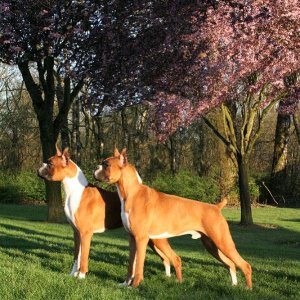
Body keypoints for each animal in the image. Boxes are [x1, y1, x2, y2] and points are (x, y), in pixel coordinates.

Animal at [38, 146, 182, 284]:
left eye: (50, 163)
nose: (39, 167)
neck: (75, 191)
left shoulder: (85, 234)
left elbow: (83, 257)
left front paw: (81, 276)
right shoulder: (76, 233)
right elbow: (76, 257)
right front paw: (72, 274)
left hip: (156, 239)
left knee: (174, 258)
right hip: (152, 240)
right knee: (166, 259)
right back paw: (167, 277)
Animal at [92, 149, 252, 290]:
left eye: (106, 164)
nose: (96, 167)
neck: (132, 192)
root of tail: (216, 207)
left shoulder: (141, 239)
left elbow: (138, 266)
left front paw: (135, 285)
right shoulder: (132, 238)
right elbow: (131, 264)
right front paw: (126, 284)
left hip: (223, 242)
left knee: (245, 265)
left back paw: (247, 288)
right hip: (212, 245)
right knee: (231, 264)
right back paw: (234, 285)